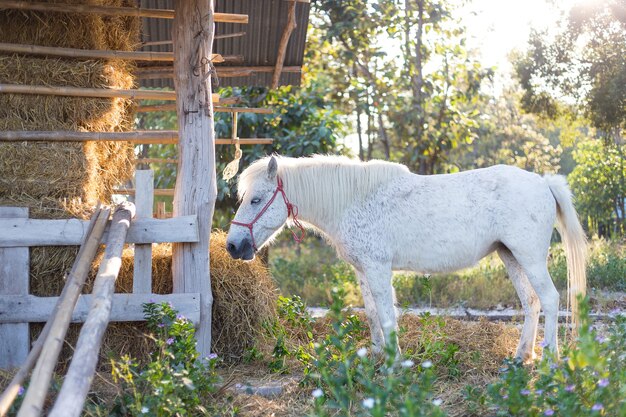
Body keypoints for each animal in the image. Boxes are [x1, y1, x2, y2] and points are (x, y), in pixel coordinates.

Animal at [225, 154, 584, 360]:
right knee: (531, 302)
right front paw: (377, 355)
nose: (233, 246)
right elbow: (371, 313)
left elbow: (386, 314)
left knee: (550, 299)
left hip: (529, 258)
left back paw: (549, 357)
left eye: (256, 199)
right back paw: (522, 355)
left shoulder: (378, 269)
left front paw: (395, 361)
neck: (353, 200)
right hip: (510, 256)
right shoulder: (363, 271)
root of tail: (543, 182)